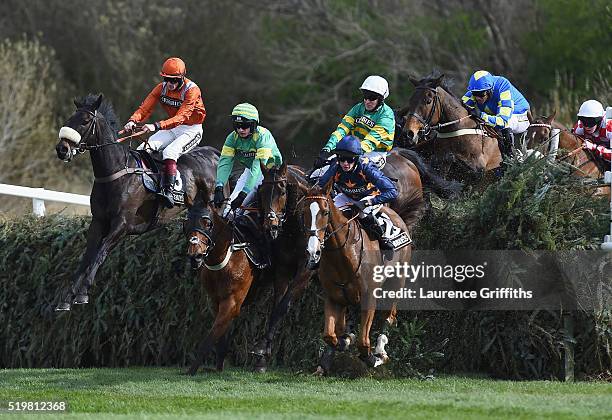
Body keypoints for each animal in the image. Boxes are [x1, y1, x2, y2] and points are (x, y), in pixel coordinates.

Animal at [53, 95, 219, 312]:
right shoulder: (98, 222)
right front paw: (67, 297)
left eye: (85, 121)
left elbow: (100, 253)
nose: (62, 149)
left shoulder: (122, 224)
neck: (115, 172)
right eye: (70, 118)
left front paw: (82, 292)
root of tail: (214, 152)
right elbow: (87, 256)